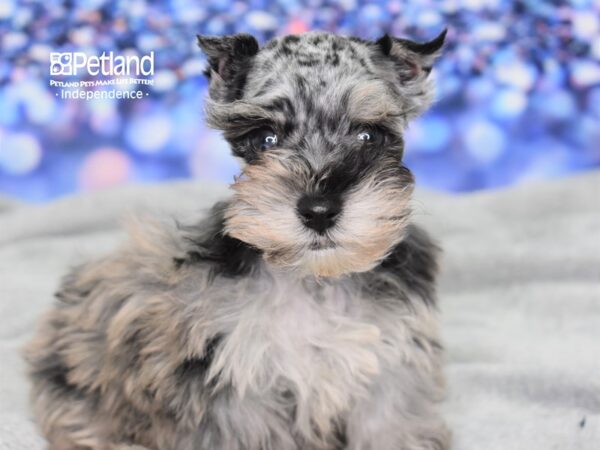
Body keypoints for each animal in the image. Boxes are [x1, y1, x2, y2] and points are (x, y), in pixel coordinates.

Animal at [28, 29, 450, 450]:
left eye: (368, 135)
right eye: (265, 139)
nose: (318, 210)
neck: (315, 280)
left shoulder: (391, 367)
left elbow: (390, 426)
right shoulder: (237, 389)